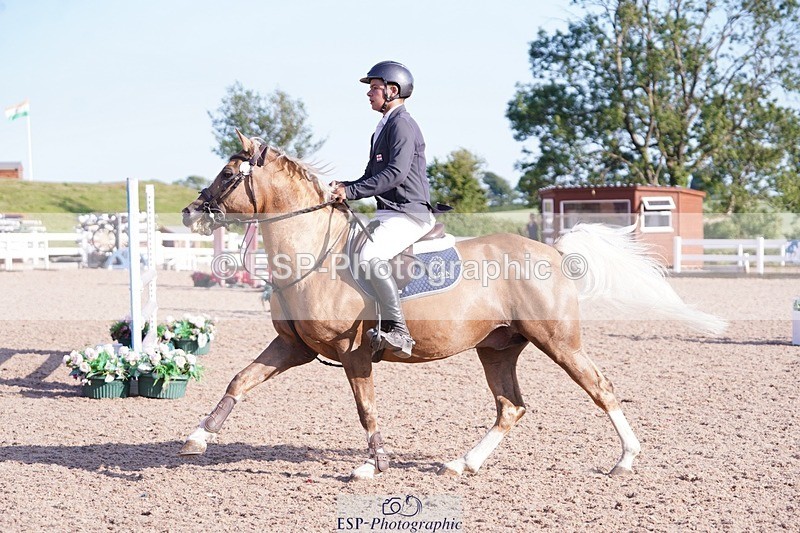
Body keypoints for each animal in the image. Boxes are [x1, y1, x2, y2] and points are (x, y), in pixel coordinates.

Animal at [179, 131, 725, 480]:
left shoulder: (354, 355)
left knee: (601, 389)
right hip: (498, 347)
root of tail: (553, 251)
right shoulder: (293, 348)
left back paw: (626, 460)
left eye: (228, 174)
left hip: (559, 341)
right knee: (511, 407)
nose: (189, 212)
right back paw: (464, 463)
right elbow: (239, 381)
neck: (317, 255)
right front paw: (198, 437)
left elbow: (365, 409)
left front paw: (371, 465)